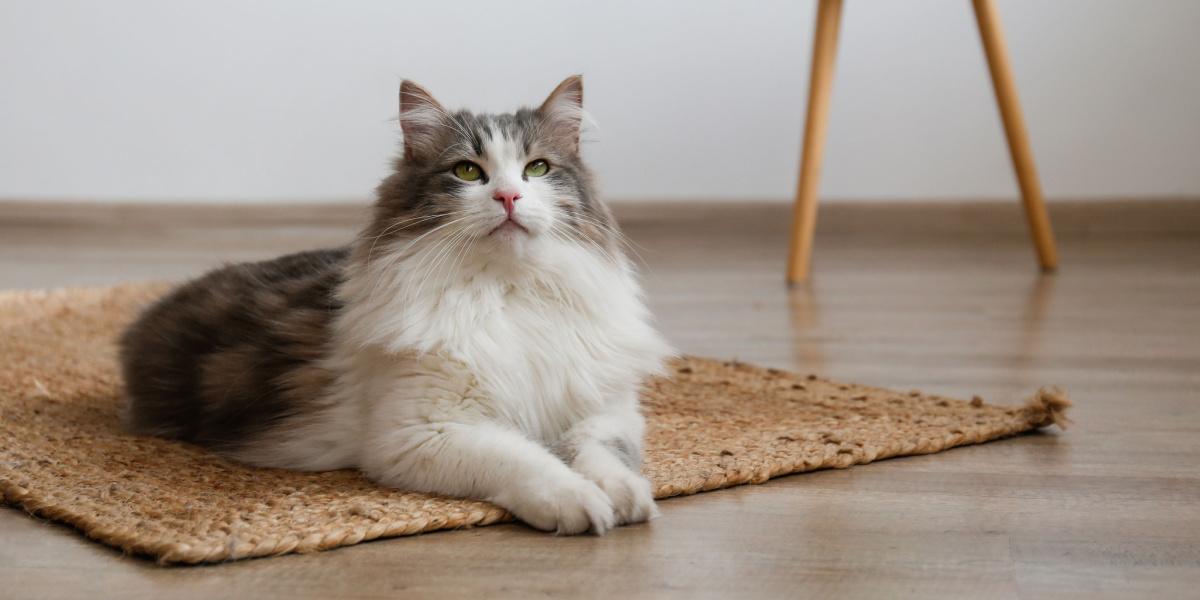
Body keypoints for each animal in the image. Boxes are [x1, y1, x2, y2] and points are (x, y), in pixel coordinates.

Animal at [119, 76, 676, 535]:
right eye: (468, 171)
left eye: (537, 168)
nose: (509, 198)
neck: (506, 292)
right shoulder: (423, 433)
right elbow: (527, 460)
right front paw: (577, 502)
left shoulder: (607, 412)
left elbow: (601, 455)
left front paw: (626, 496)